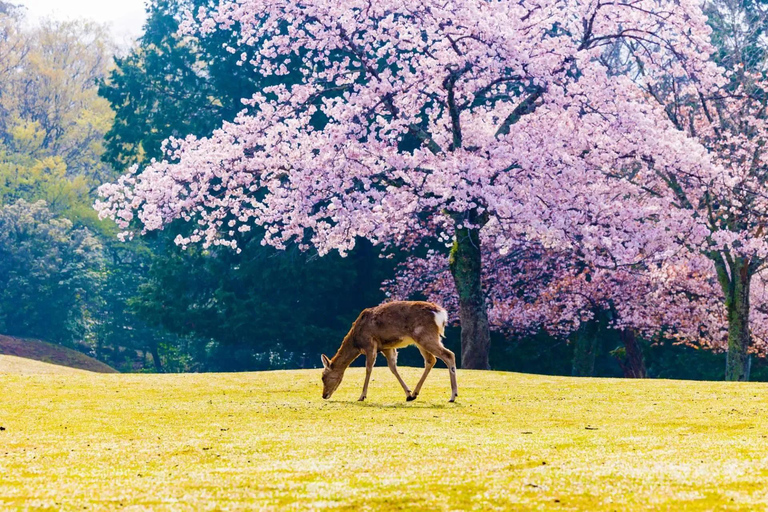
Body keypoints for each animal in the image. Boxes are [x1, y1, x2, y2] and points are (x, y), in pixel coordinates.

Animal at [320, 301, 458, 402]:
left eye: (323, 377)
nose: (324, 395)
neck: (356, 341)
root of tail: (441, 314)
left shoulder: (370, 344)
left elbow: (368, 368)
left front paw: (362, 396)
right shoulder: (387, 347)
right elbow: (393, 368)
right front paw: (408, 394)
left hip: (426, 336)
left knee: (449, 355)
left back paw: (452, 396)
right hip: (421, 340)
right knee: (431, 360)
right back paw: (415, 393)